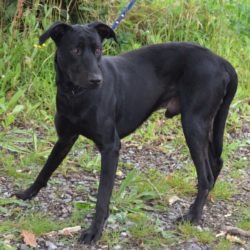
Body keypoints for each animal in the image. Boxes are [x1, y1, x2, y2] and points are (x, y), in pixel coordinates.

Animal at [13, 21, 236, 244]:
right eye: (75, 50)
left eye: (98, 50)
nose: (96, 80)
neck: (75, 95)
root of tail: (221, 61)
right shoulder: (65, 138)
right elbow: (46, 169)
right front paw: (27, 193)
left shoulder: (110, 147)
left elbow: (102, 196)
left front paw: (94, 231)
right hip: (201, 125)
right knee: (215, 162)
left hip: (193, 124)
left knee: (205, 176)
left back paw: (194, 215)